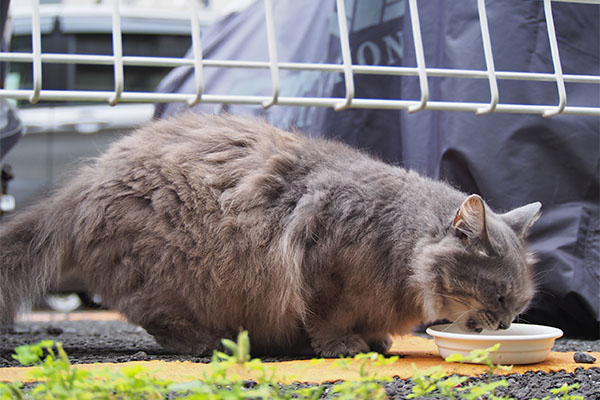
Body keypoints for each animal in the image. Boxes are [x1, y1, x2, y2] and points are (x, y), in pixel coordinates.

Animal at [0, 112, 540, 356]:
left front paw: (378, 340)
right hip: (166, 275)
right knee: (152, 317)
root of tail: (82, 186)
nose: (504, 324)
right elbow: (326, 319)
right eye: (499, 296)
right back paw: (206, 343)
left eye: (518, 305)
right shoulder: (319, 270)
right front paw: (345, 345)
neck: (396, 242)